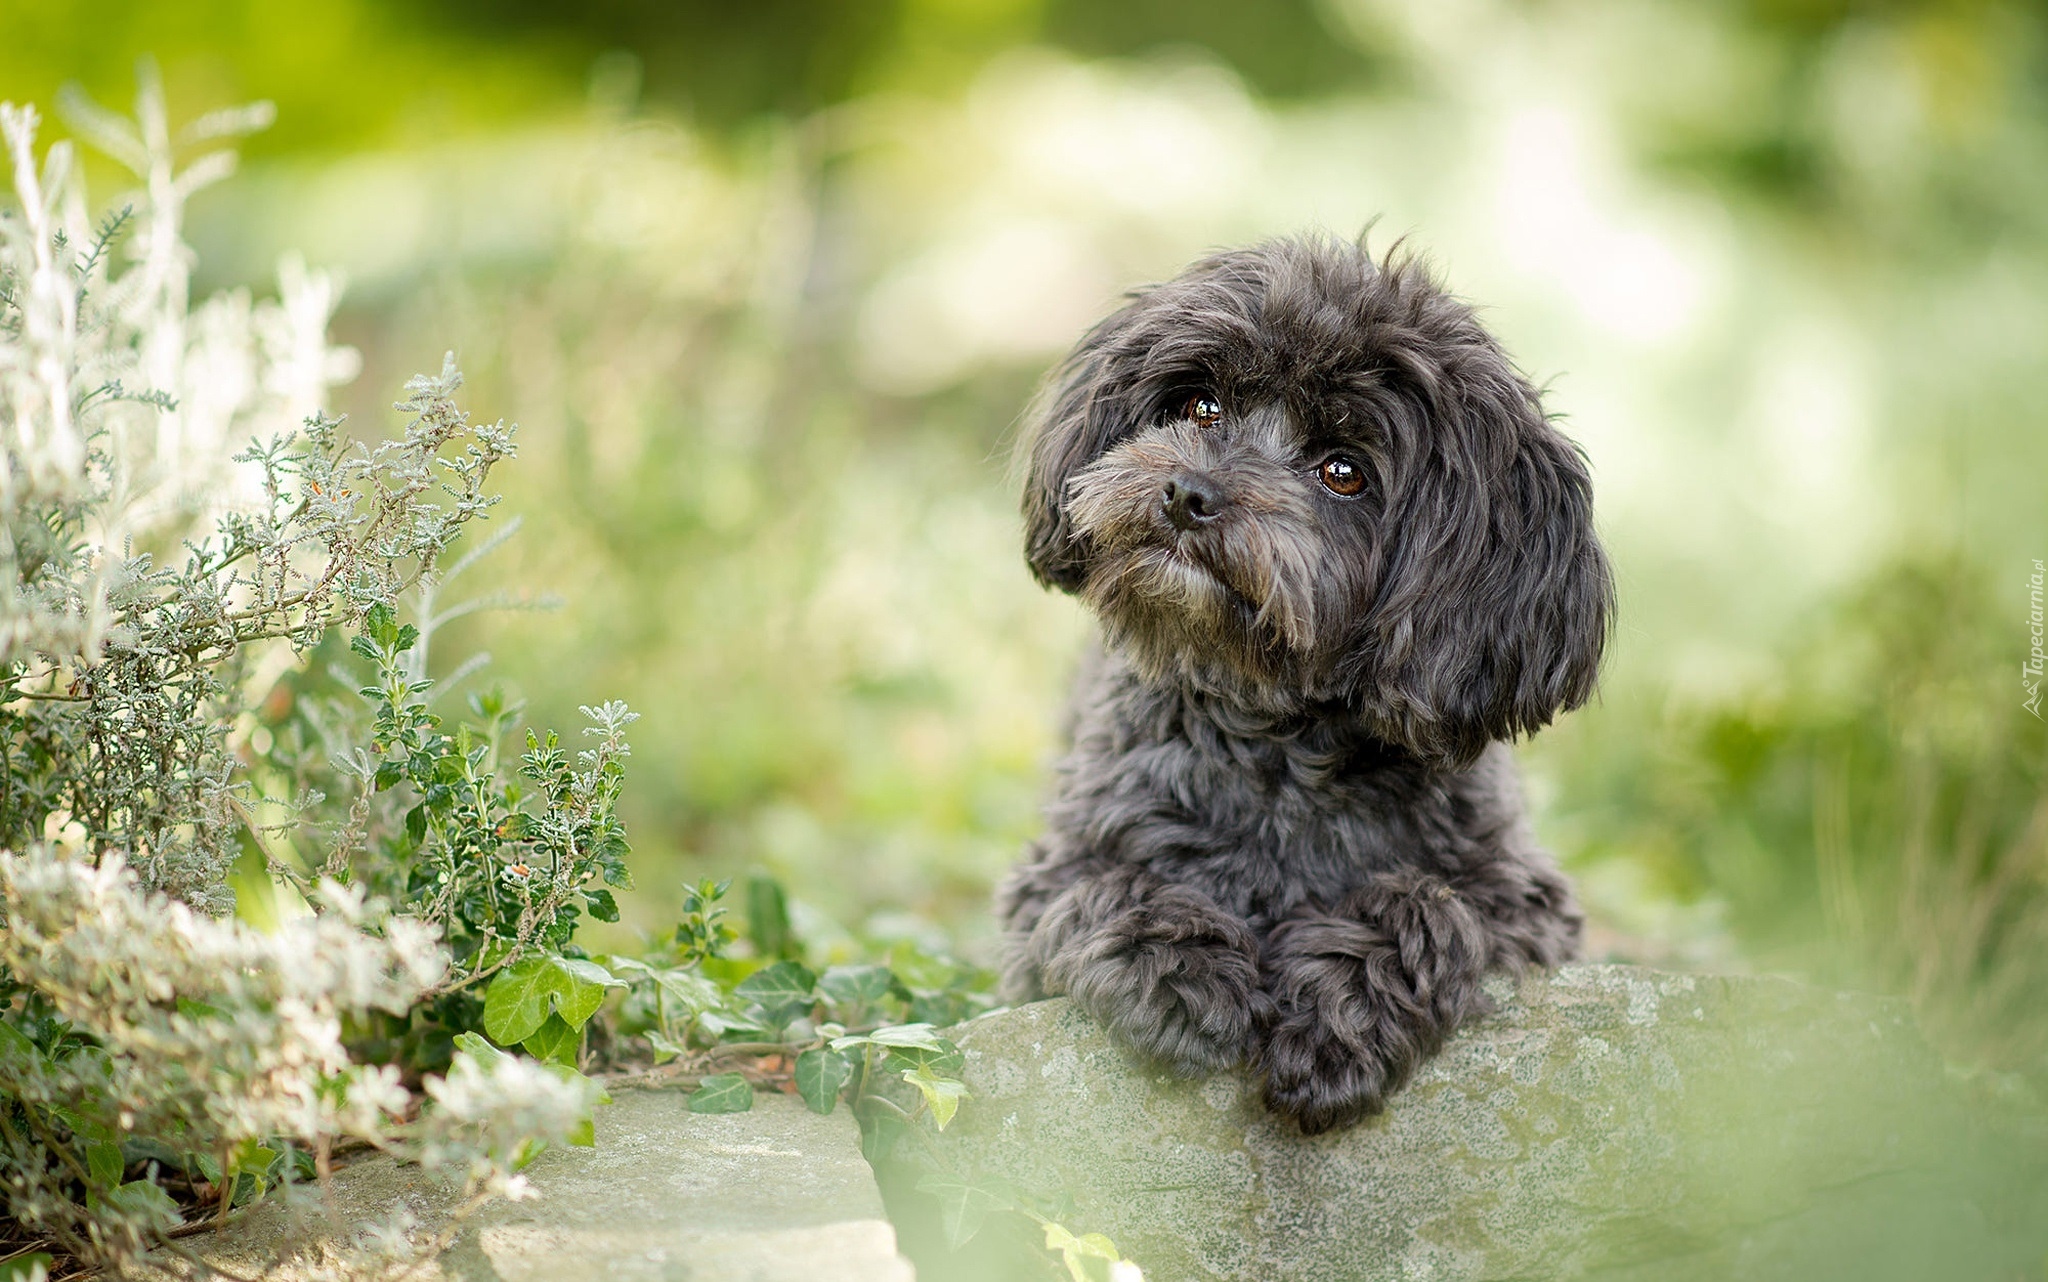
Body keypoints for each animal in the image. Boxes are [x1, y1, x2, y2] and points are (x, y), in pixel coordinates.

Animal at [995, 234, 1613, 1130]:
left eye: (1344, 471)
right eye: (1202, 407)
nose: (1188, 493)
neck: (1277, 744)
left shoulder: (1525, 904)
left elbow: (1432, 907)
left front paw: (1337, 1010)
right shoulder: (1048, 879)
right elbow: (1105, 885)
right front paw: (1177, 969)